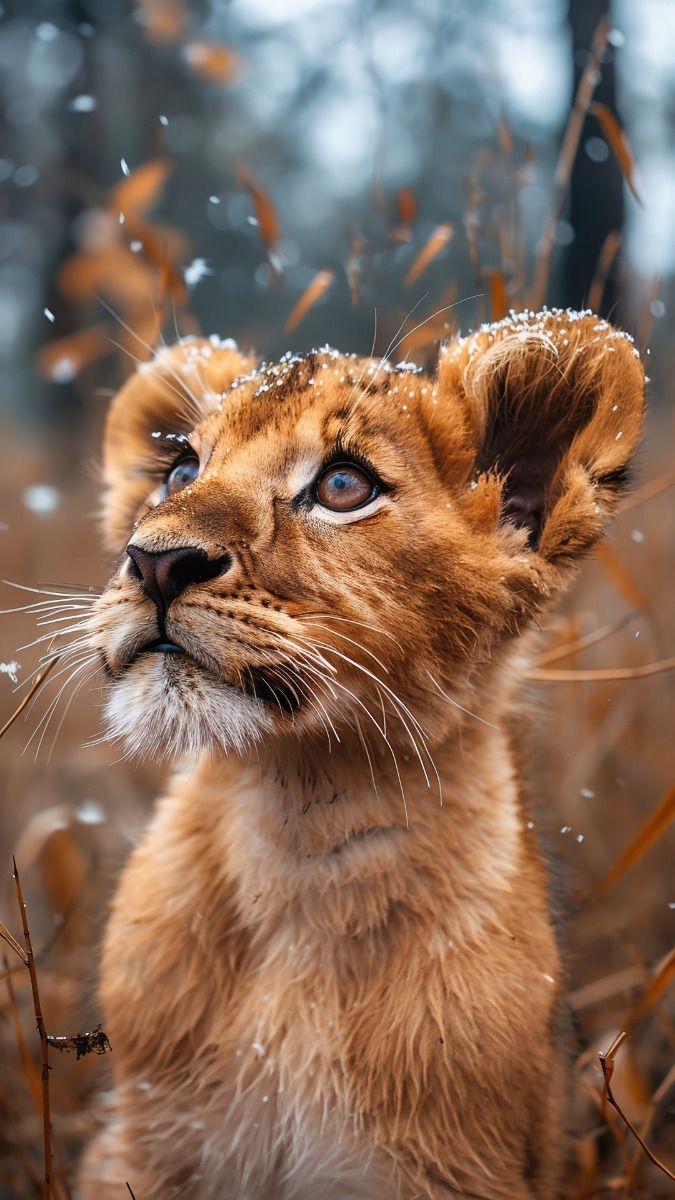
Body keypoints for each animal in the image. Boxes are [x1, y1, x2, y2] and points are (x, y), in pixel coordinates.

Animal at [77, 309, 644, 1198]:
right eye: (180, 471)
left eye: (344, 487)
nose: (155, 560)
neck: (298, 821)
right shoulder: (142, 1143)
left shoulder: (449, 1166)